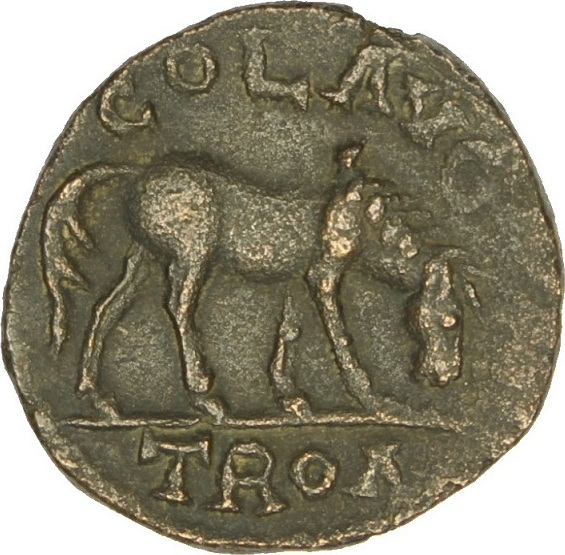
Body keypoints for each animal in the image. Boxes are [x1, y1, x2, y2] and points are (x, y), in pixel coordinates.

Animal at [42, 145, 467, 420]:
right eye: (451, 320)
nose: (447, 375)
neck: (369, 224)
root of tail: (137, 173)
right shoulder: (324, 272)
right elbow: (338, 333)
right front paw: (375, 400)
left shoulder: (296, 277)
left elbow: (290, 327)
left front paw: (291, 398)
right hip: (192, 251)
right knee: (178, 304)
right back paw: (203, 395)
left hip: (143, 255)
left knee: (108, 306)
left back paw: (98, 397)